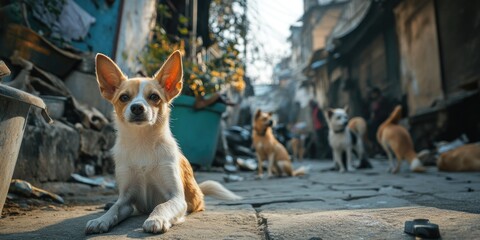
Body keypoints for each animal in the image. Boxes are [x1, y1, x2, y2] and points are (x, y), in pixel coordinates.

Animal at [85, 50, 240, 234]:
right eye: (124, 97)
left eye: (154, 96)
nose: (137, 107)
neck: (142, 142)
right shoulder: (126, 199)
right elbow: (116, 208)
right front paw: (101, 220)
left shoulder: (177, 198)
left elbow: (162, 206)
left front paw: (156, 219)